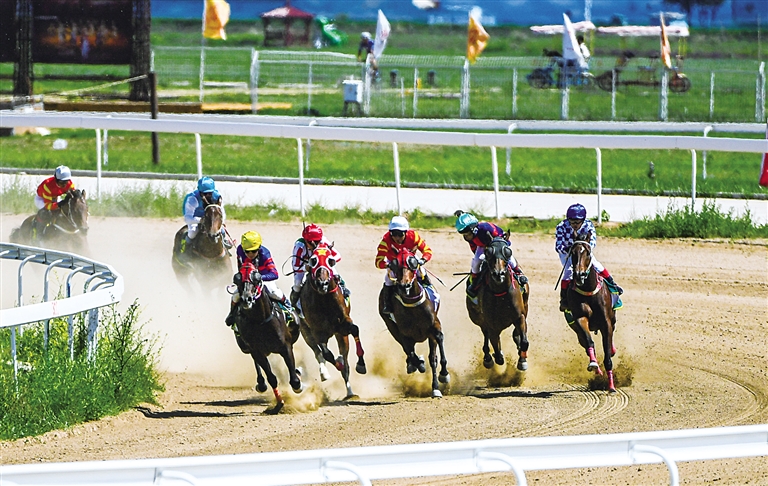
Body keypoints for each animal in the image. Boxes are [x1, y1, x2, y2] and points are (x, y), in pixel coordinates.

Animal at [232, 262, 304, 414]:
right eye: (237, 279)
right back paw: (261, 383)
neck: (261, 320)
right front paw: (279, 403)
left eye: (257, 278)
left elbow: (294, 380)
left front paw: (298, 383)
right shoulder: (256, 350)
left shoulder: (285, 347)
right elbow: (272, 378)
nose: (246, 299)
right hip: (247, 348)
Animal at [296, 243, 366, 398]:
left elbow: (355, 329)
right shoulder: (318, 332)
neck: (325, 299)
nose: (323, 283)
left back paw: (350, 392)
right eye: (313, 260)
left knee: (343, 356)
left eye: (331, 260)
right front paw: (336, 364)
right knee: (318, 352)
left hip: (340, 335)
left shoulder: (343, 324)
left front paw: (361, 364)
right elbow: (327, 354)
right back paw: (324, 373)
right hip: (305, 331)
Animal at [380, 249, 450, 396]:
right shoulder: (404, 334)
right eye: (394, 265)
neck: (412, 305)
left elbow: (437, 346)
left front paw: (442, 378)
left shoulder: (434, 327)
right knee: (408, 351)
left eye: (412, 263)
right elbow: (411, 352)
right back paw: (414, 364)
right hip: (392, 328)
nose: (404, 285)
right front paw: (418, 363)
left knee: (431, 357)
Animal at [464, 236, 532, 372]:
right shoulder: (492, 326)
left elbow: (524, 342)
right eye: (488, 252)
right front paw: (495, 356)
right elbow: (497, 352)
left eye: (507, 252)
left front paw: (522, 360)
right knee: (485, 336)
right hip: (477, 318)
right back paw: (487, 358)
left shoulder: (519, 316)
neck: (501, 295)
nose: (498, 273)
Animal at [568, 230, 616, 392]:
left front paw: (611, 387)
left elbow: (607, 356)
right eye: (573, 253)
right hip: (576, 330)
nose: (579, 275)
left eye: (588, 253)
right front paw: (594, 365)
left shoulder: (606, 323)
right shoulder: (580, 318)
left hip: (612, 320)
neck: (589, 290)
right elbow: (589, 341)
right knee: (586, 343)